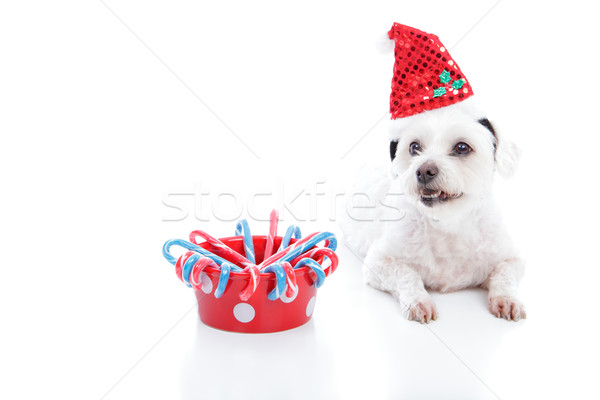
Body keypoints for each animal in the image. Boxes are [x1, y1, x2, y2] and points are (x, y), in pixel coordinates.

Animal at [342, 98, 524, 324]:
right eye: (414, 147)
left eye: (462, 147)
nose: (423, 170)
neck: (448, 224)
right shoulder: (378, 262)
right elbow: (407, 274)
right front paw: (419, 301)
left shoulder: (511, 257)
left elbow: (505, 273)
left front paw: (507, 298)